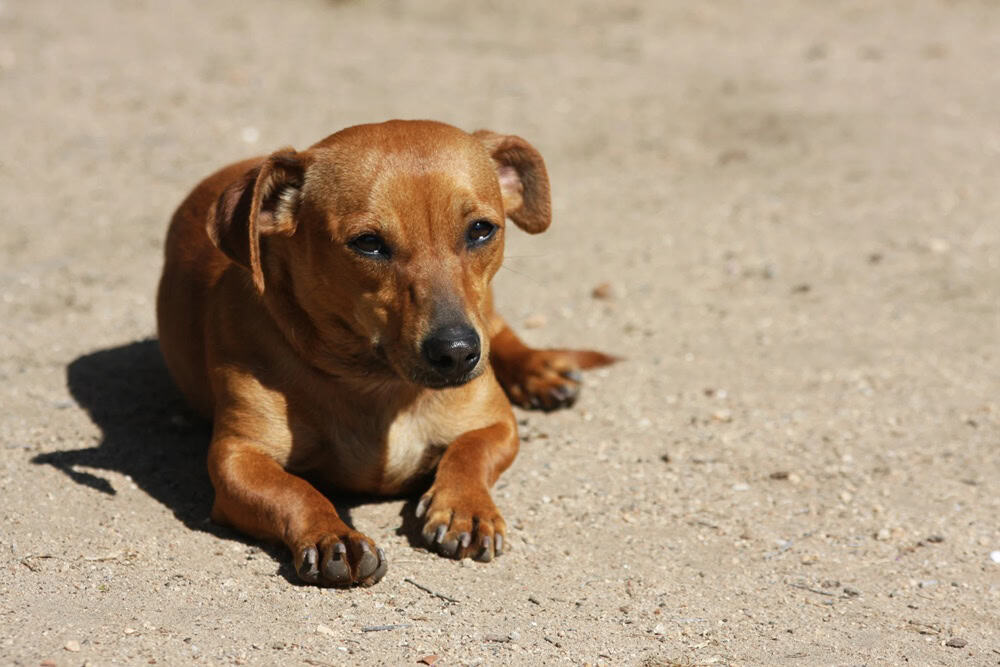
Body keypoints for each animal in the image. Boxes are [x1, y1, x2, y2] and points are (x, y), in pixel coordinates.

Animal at [155, 118, 612, 584]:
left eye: (482, 230)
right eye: (368, 243)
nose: (457, 351)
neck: (379, 385)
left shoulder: (497, 423)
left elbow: (470, 453)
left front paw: (465, 507)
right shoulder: (236, 458)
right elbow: (294, 490)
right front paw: (333, 535)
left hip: (487, 317)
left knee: (500, 333)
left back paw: (540, 370)